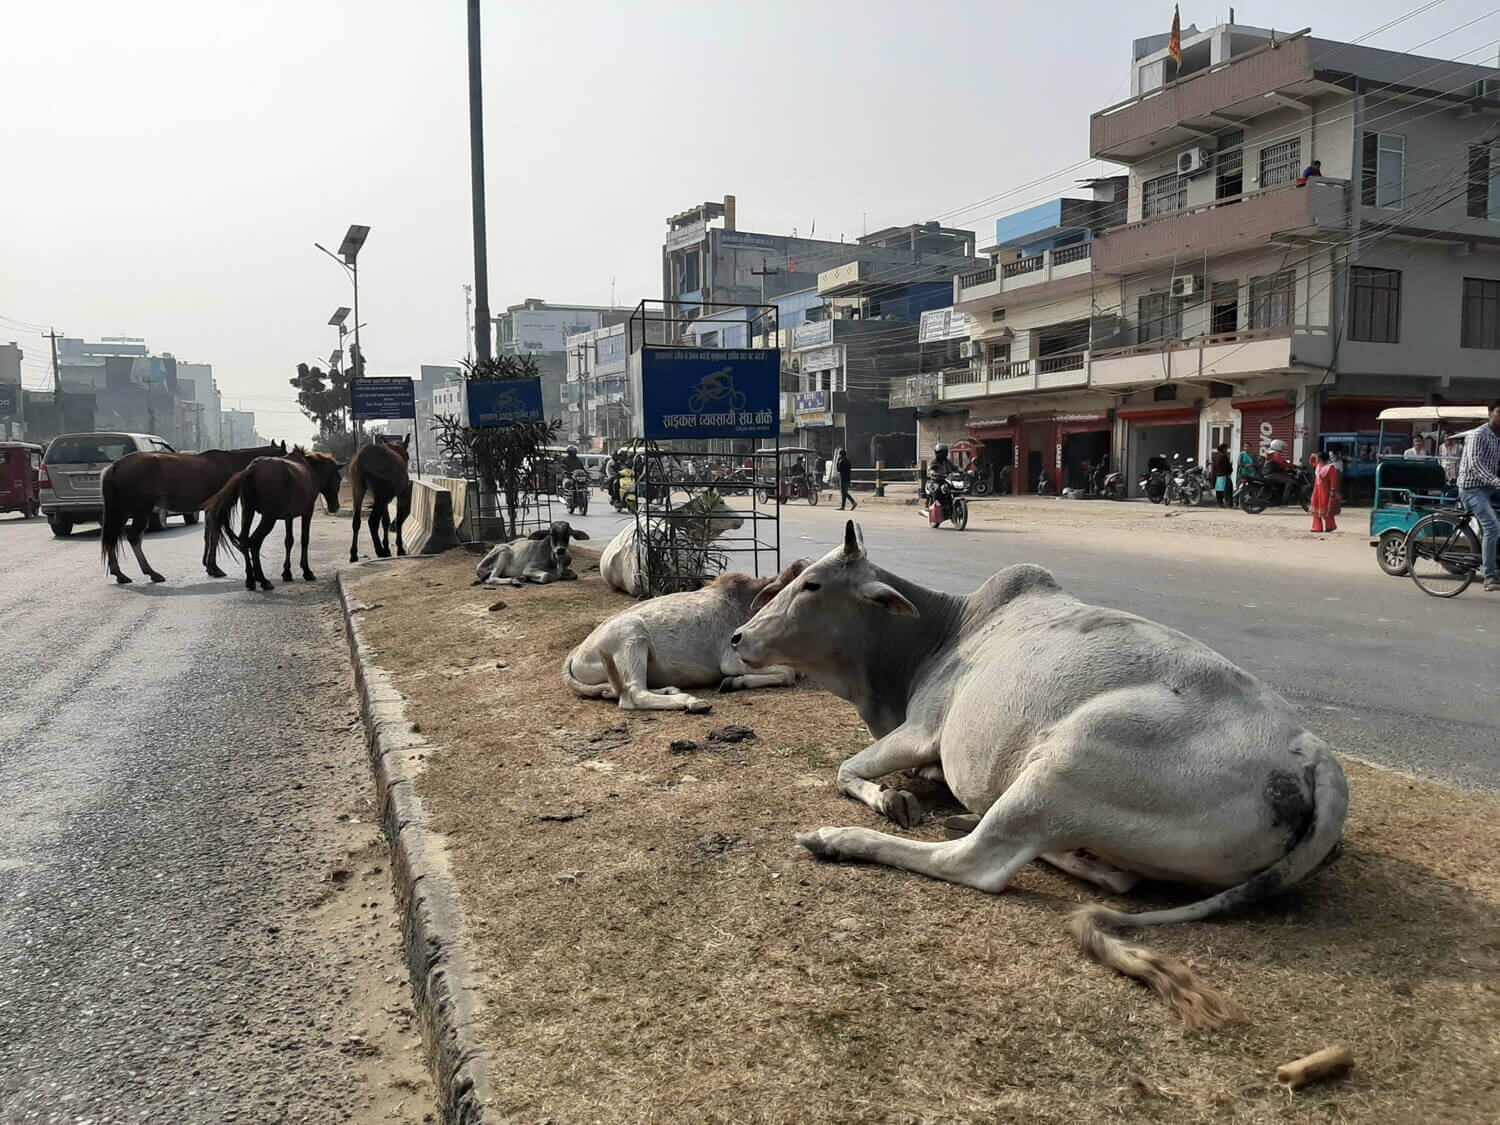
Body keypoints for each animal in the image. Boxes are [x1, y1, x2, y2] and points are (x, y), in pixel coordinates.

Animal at [101, 441, 288, 582]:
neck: (228, 464)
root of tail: (115, 465)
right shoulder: (216, 507)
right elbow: (214, 535)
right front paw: (213, 567)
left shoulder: (208, 508)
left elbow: (207, 535)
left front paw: (208, 565)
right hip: (140, 509)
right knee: (133, 537)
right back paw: (151, 572)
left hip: (121, 511)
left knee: (112, 536)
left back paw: (119, 573)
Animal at [202, 450, 343, 594]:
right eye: (338, 479)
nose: (335, 507)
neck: (311, 470)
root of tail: (252, 469)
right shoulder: (307, 512)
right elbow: (304, 539)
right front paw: (307, 571)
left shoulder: (288, 517)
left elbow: (289, 541)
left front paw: (287, 573)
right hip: (269, 518)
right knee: (255, 542)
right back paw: (263, 580)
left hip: (248, 511)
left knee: (244, 540)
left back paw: (251, 580)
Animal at [567, 561, 810, 714]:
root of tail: (575, 654)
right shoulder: (732, 660)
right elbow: (788, 674)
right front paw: (731, 682)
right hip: (633, 635)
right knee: (633, 694)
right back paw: (690, 701)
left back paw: (671, 690)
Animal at [732, 525, 1356, 1038]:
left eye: (811, 584)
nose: (738, 638)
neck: (938, 635)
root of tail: (1313, 752)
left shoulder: (922, 729)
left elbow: (849, 771)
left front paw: (892, 799)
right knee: (1115, 878)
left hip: (1065, 758)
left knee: (974, 861)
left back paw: (838, 839)